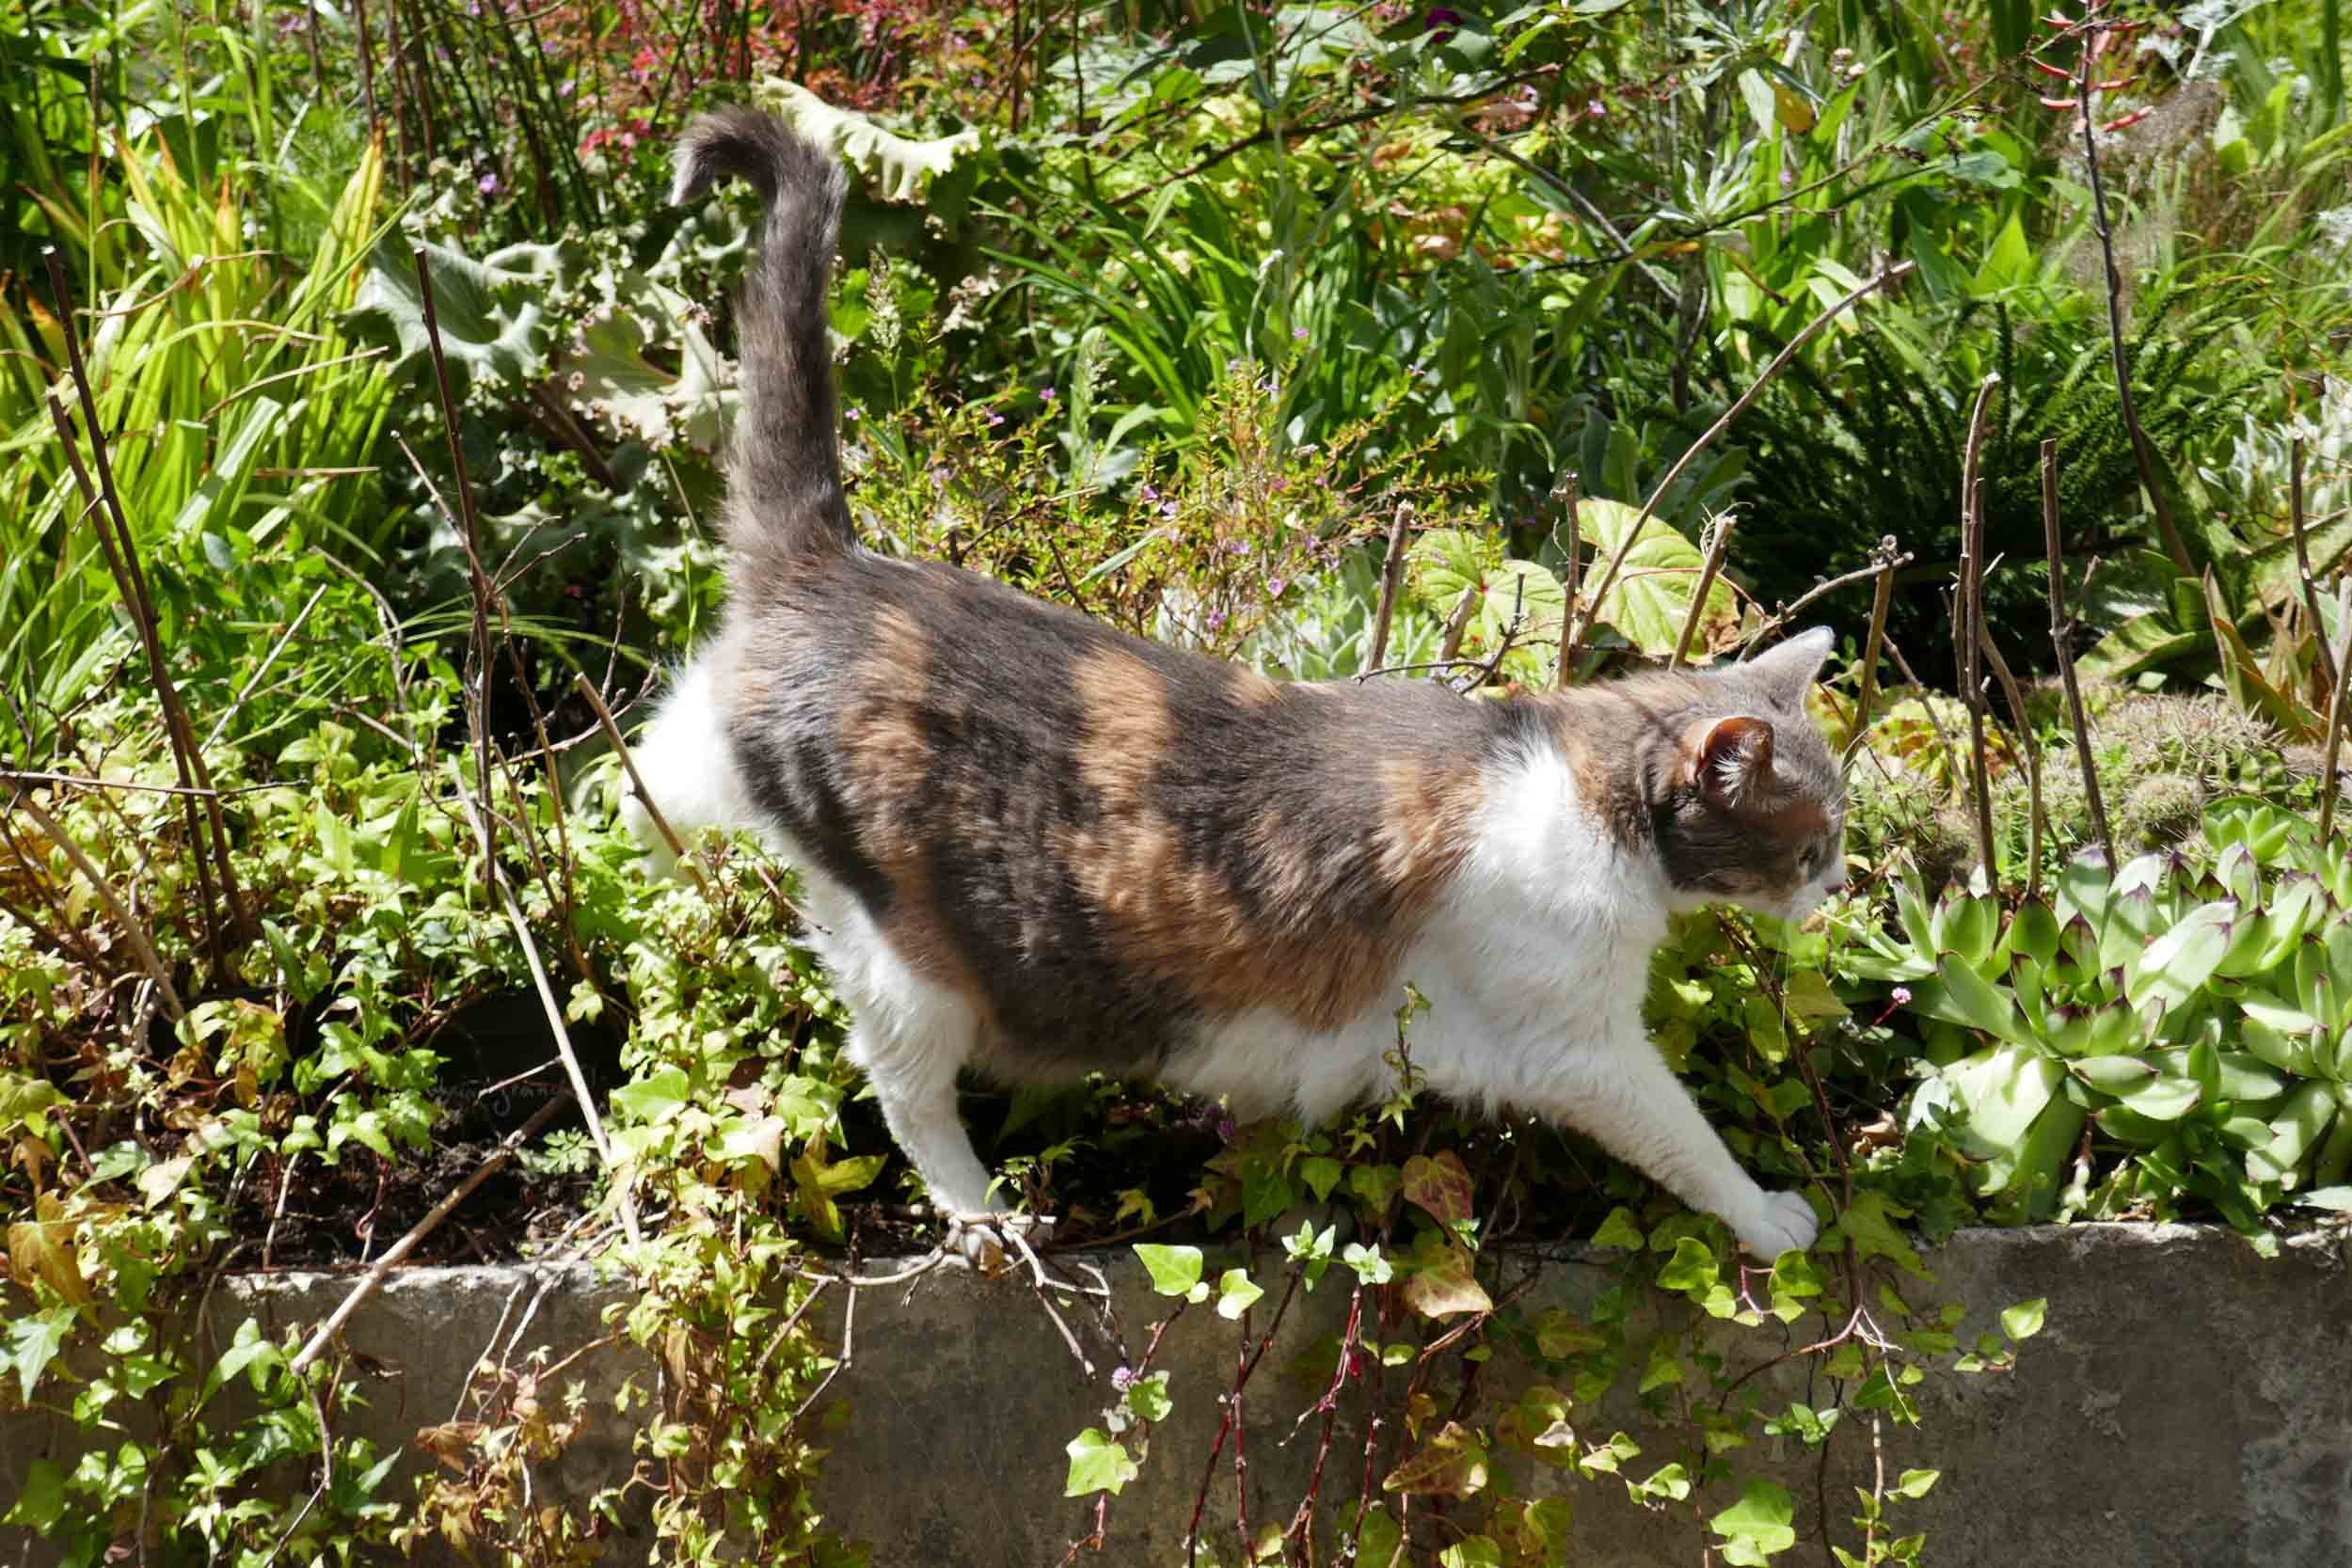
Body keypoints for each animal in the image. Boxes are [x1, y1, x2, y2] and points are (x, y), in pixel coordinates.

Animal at [635, 116, 1844, 1278]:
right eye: (1811, 843)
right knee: (902, 1089)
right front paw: (1769, 1215)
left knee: (648, 774)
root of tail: (834, 569)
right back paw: (985, 1216)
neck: (1584, 789)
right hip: (912, 963)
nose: (1837, 886)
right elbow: (1682, 1134)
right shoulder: (1579, 1044)